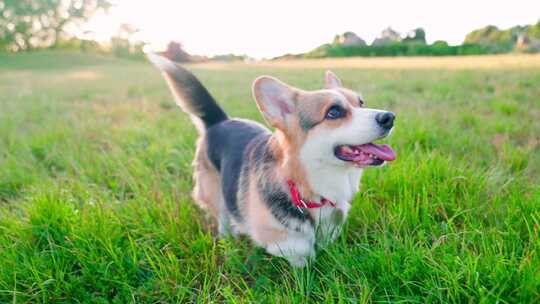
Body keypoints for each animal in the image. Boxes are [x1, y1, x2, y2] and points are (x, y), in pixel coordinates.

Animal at [148, 54, 396, 266]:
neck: (307, 185)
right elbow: (300, 256)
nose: (390, 117)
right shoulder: (284, 240)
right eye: (333, 112)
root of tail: (219, 122)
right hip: (215, 193)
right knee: (222, 219)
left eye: (361, 102)